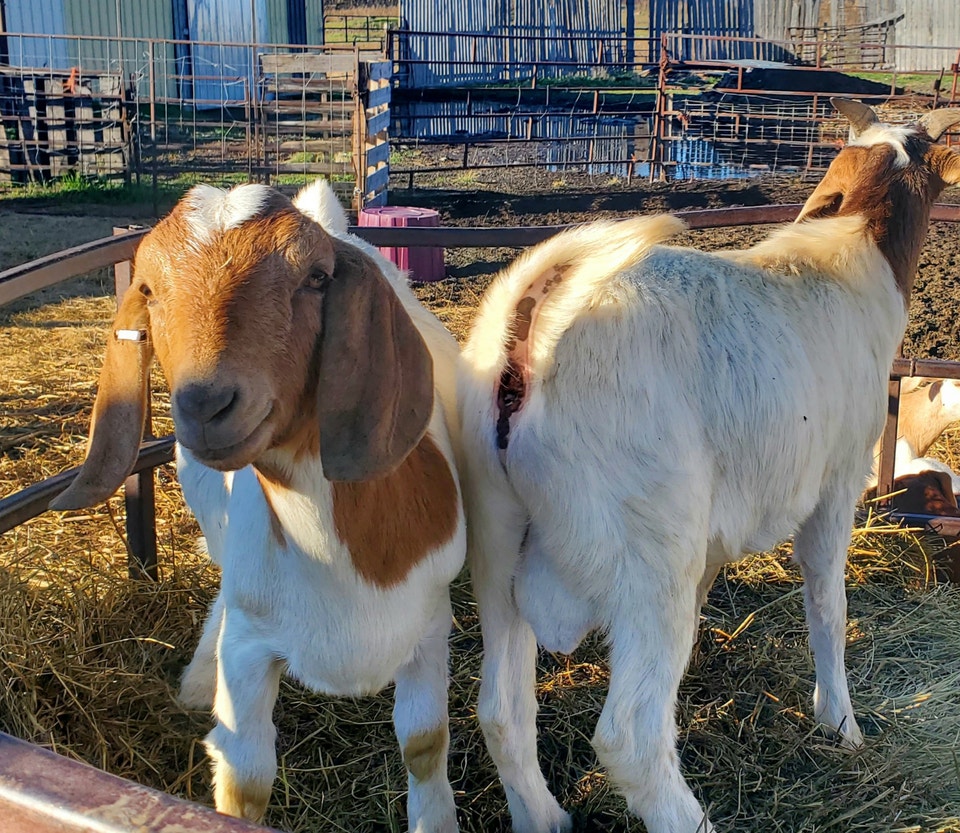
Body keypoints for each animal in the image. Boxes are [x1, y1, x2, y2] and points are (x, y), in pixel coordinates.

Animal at [51, 180, 466, 832]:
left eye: (316, 278)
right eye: (149, 290)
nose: (206, 404)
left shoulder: (428, 624)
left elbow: (425, 744)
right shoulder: (249, 646)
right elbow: (244, 778)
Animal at [457, 100, 960, 833]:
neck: (846, 257)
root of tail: (530, 334)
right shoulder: (836, 483)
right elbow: (828, 604)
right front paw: (840, 722)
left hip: (496, 544)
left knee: (502, 711)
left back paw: (543, 815)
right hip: (647, 551)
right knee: (629, 738)